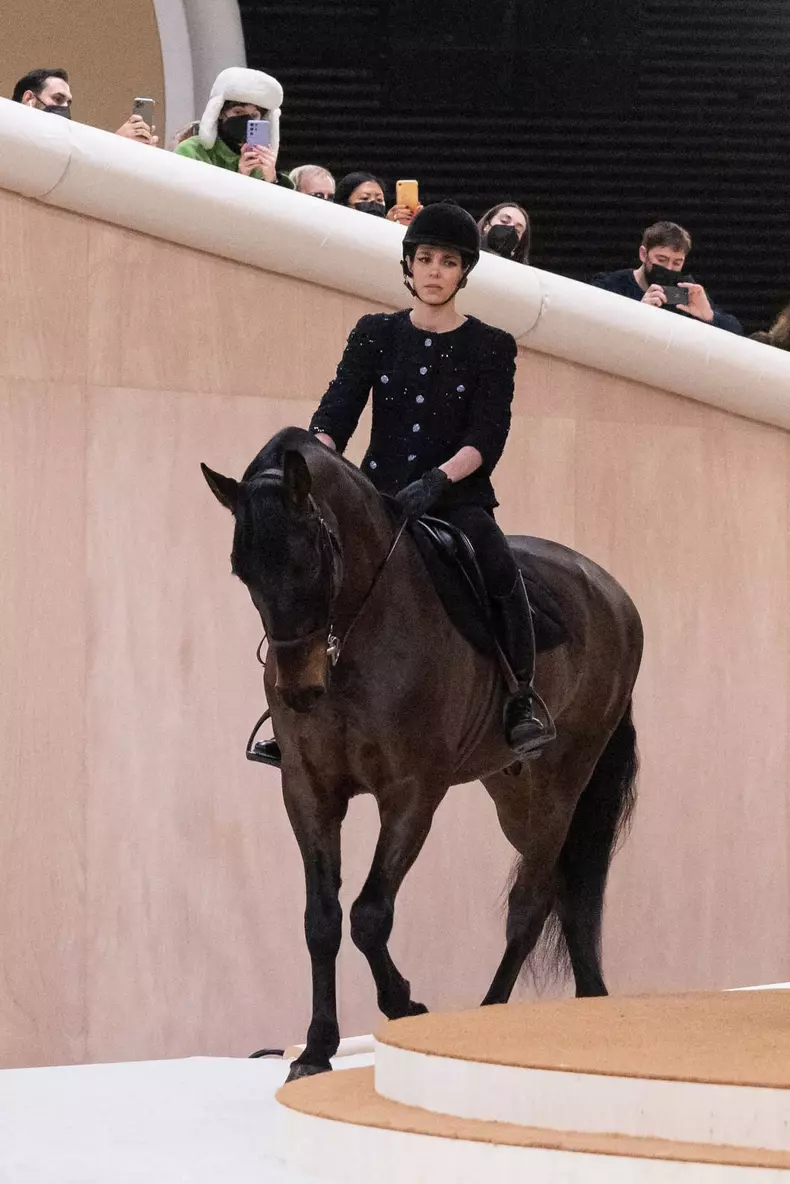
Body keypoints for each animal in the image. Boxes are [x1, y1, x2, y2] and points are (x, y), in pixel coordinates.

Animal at [202, 426, 643, 1082]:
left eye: (311, 559)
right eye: (243, 570)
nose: (299, 690)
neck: (357, 635)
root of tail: (612, 595)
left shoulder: (411, 793)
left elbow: (369, 914)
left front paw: (405, 1004)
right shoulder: (308, 790)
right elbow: (322, 920)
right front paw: (316, 1049)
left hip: (561, 785)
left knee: (531, 902)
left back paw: (490, 1021)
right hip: (513, 791)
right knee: (566, 889)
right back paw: (588, 1001)